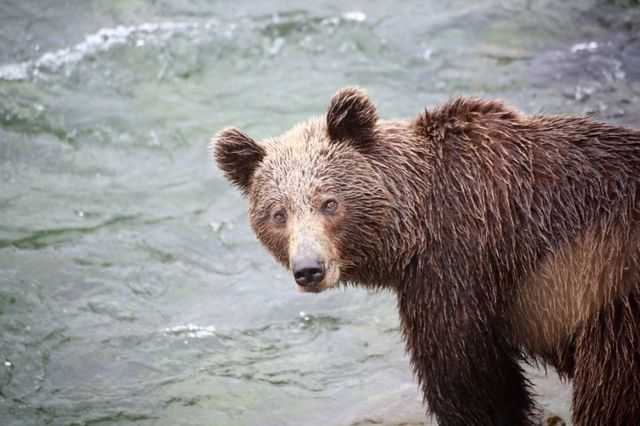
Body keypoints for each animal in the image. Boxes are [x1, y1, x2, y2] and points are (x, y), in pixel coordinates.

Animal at [212, 87, 640, 425]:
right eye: (278, 213)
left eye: (329, 202)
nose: (309, 270)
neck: (414, 227)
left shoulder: (459, 267)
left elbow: (469, 381)